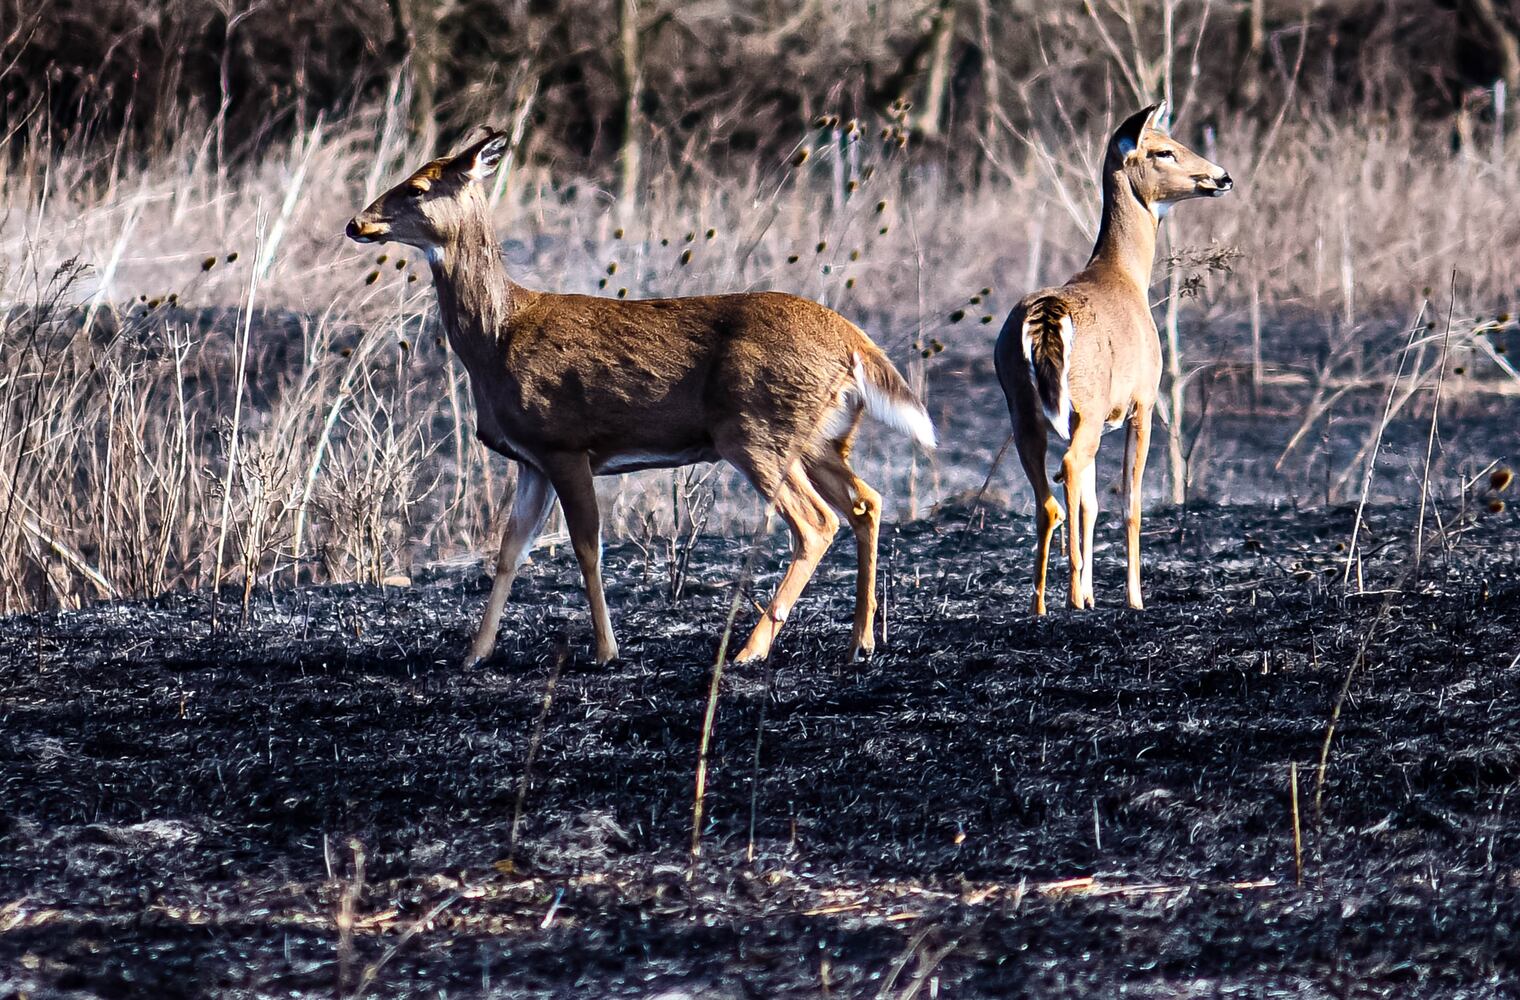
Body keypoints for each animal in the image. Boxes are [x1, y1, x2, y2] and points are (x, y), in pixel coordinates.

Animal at [348, 128, 936, 665]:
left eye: (418, 187)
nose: (357, 222)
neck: (497, 337)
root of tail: (854, 342)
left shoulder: (564, 442)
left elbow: (587, 547)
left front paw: (606, 650)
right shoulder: (530, 459)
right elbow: (510, 551)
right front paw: (475, 653)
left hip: (755, 430)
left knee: (816, 523)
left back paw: (750, 649)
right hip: (819, 438)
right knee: (866, 502)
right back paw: (861, 640)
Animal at [991, 103, 1228, 613]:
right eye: (1163, 149)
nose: (1221, 177)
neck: (1123, 274)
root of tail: (1047, 314)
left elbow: (1093, 503)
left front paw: (1092, 592)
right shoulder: (1142, 403)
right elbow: (1129, 503)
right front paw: (1132, 598)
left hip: (1023, 407)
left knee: (1051, 498)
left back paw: (1042, 603)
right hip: (1088, 403)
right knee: (1070, 471)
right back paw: (1072, 597)